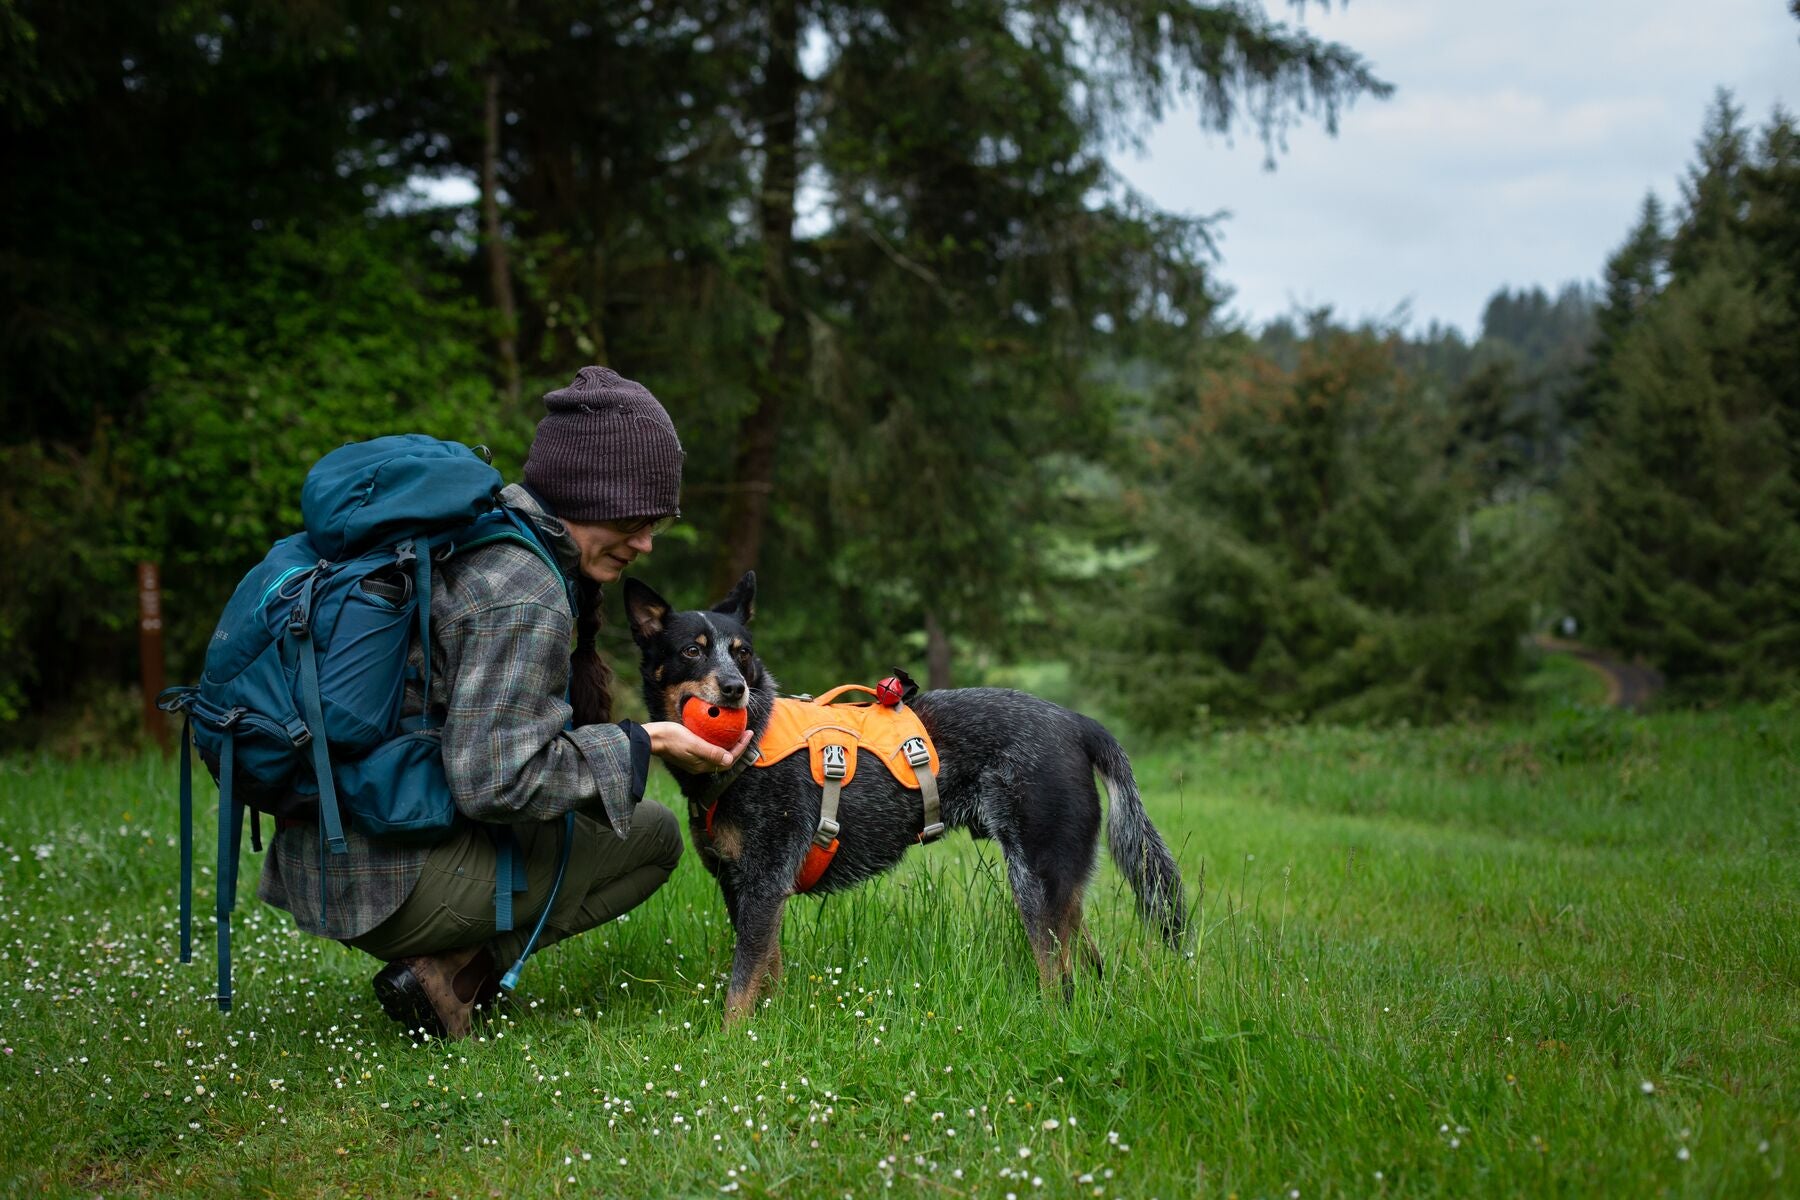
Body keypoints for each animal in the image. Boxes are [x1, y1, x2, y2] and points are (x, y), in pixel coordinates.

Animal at [626, 572, 1188, 1021]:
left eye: (742, 652)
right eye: (692, 650)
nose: (734, 687)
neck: (752, 743)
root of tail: (1078, 723)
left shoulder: (764, 884)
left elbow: (740, 989)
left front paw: (731, 1047)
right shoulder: (741, 886)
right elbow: (766, 975)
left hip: (1036, 880)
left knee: (1059, 978)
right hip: (1058, 881)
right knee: (1086, 960)